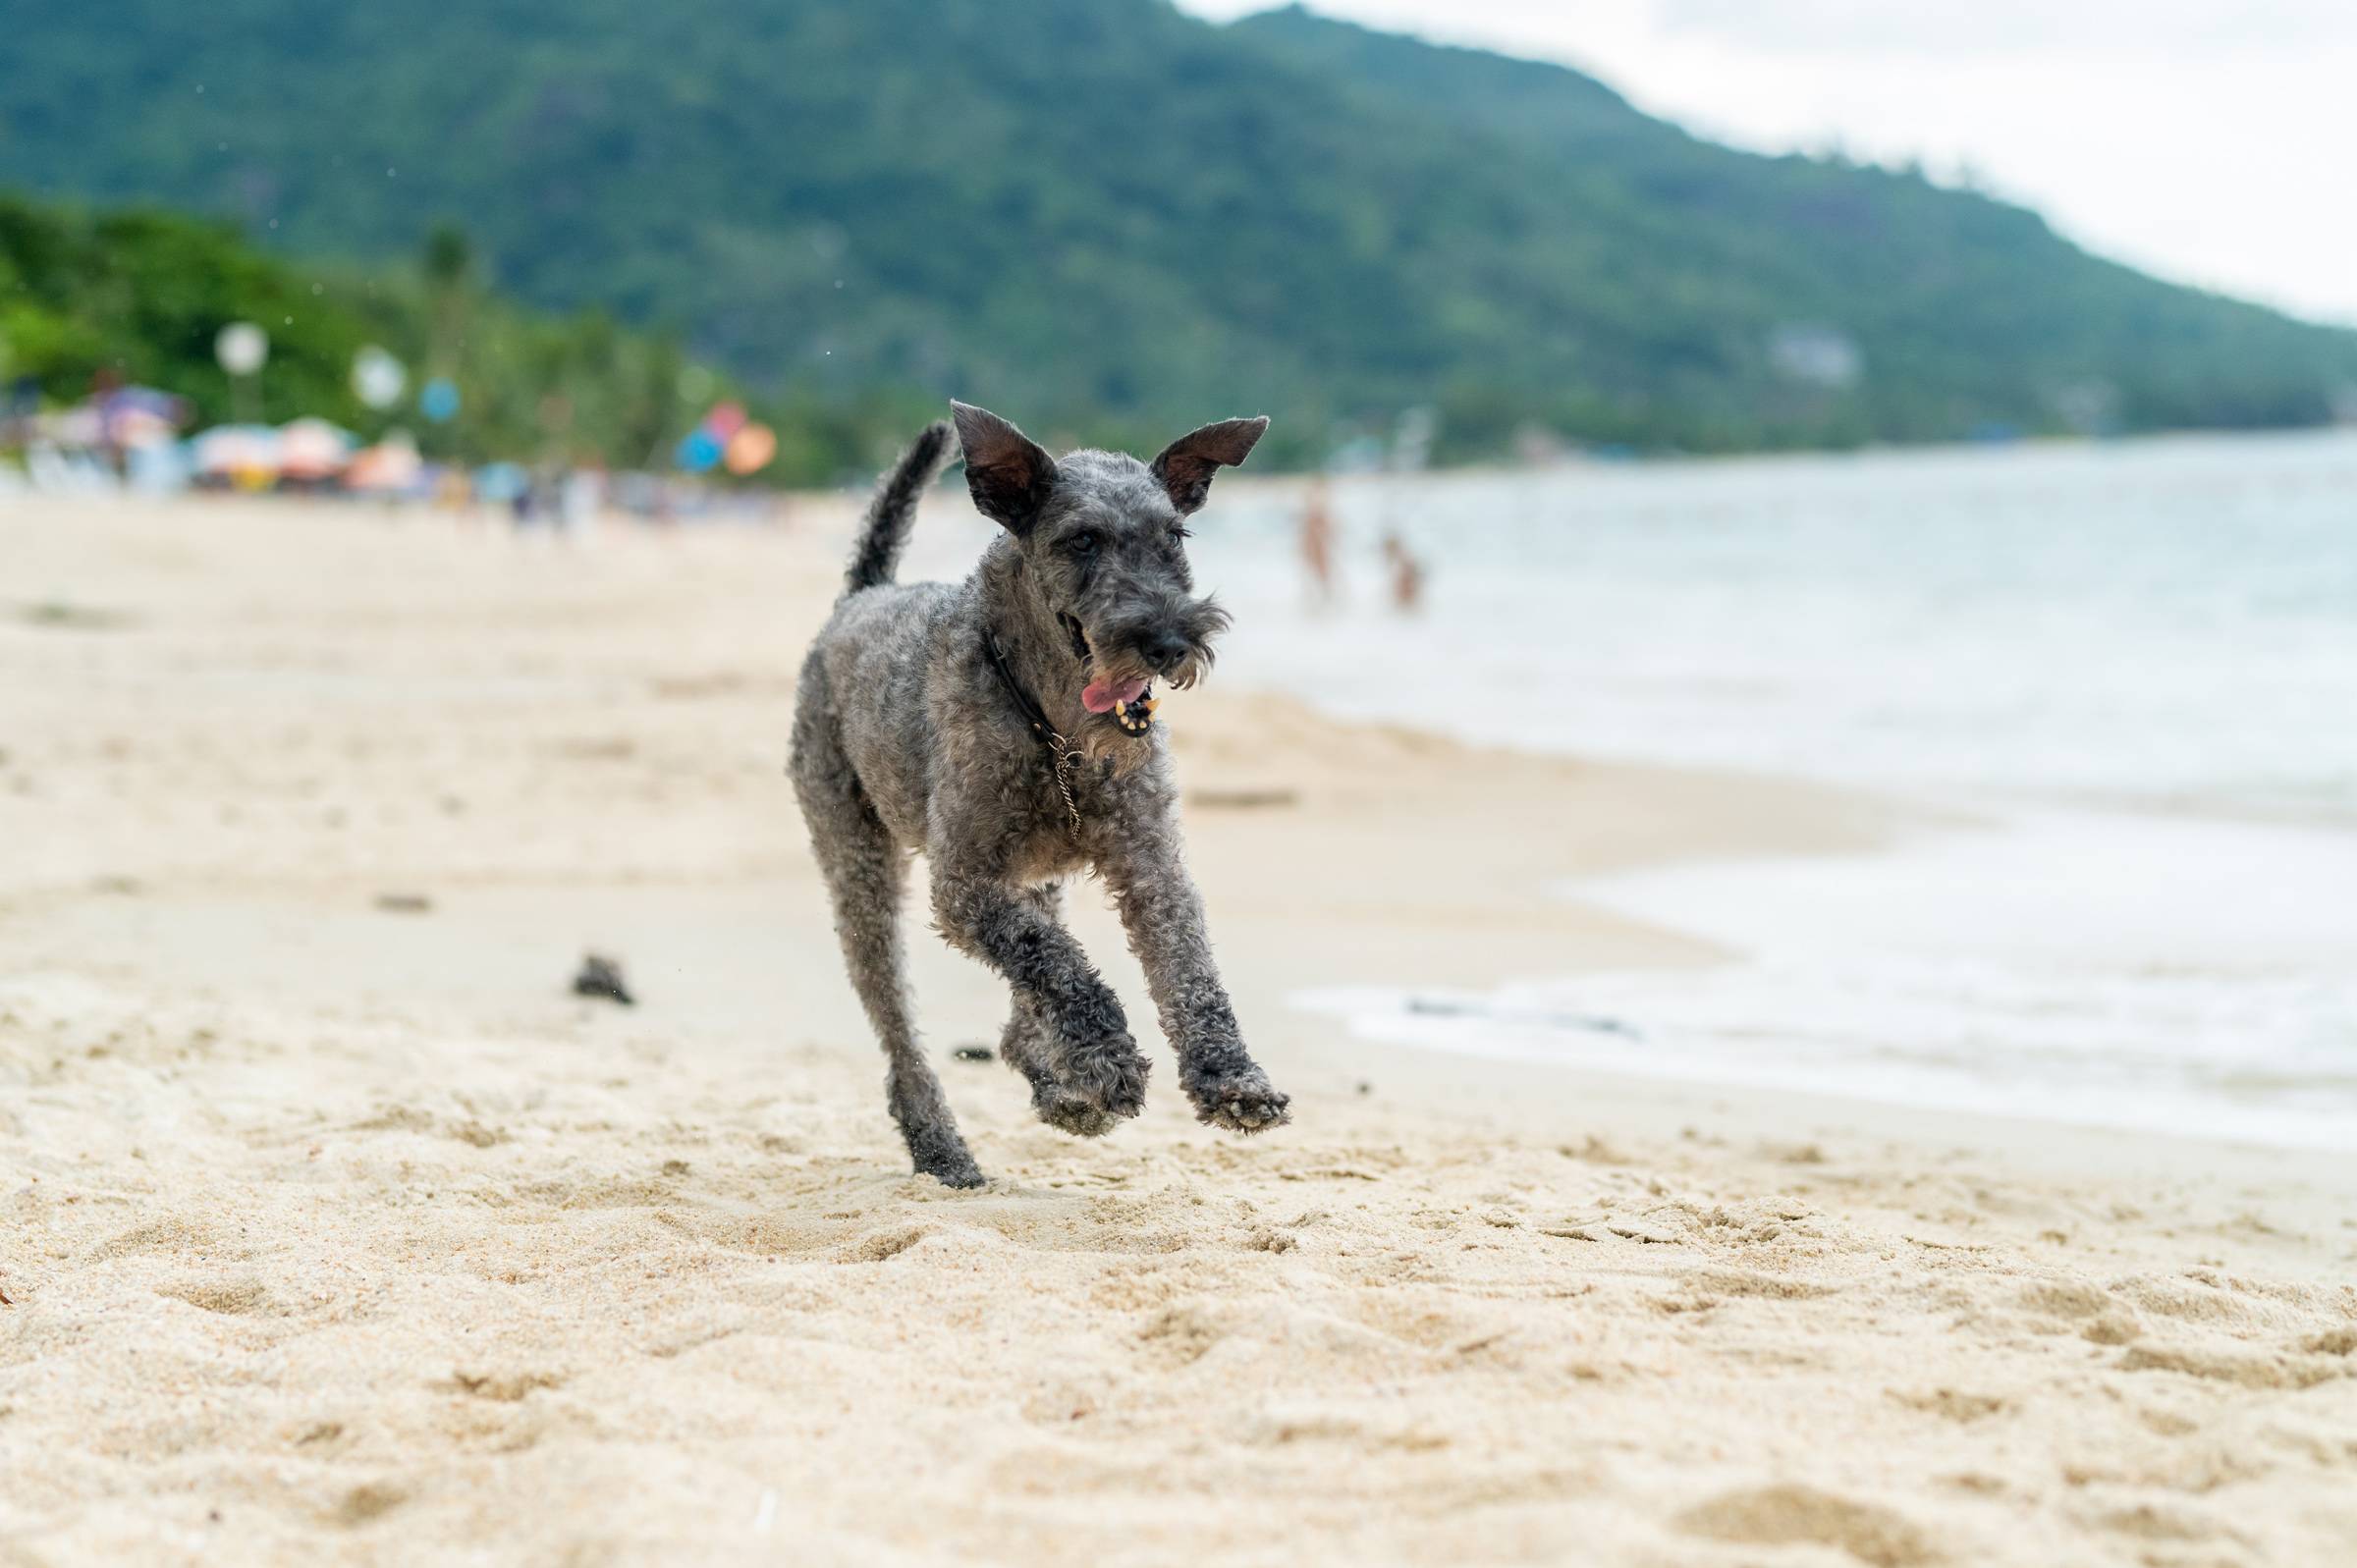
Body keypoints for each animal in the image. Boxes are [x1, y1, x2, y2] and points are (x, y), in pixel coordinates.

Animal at [788, 402, 1292, 1187]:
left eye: (1174, 537)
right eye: (1082, 539)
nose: (1170, 641)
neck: (1055, 730)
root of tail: (861, 596)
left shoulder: (1149, 862)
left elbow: (1188, 967)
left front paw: (1231, 1078)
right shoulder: (962, 885)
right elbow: (1056, 964)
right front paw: (1111, 1059)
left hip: (1034, 875)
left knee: (1023, 1004)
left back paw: (1062, 1088)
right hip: (859, 868)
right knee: (902, 1026)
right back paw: (945, 1146)